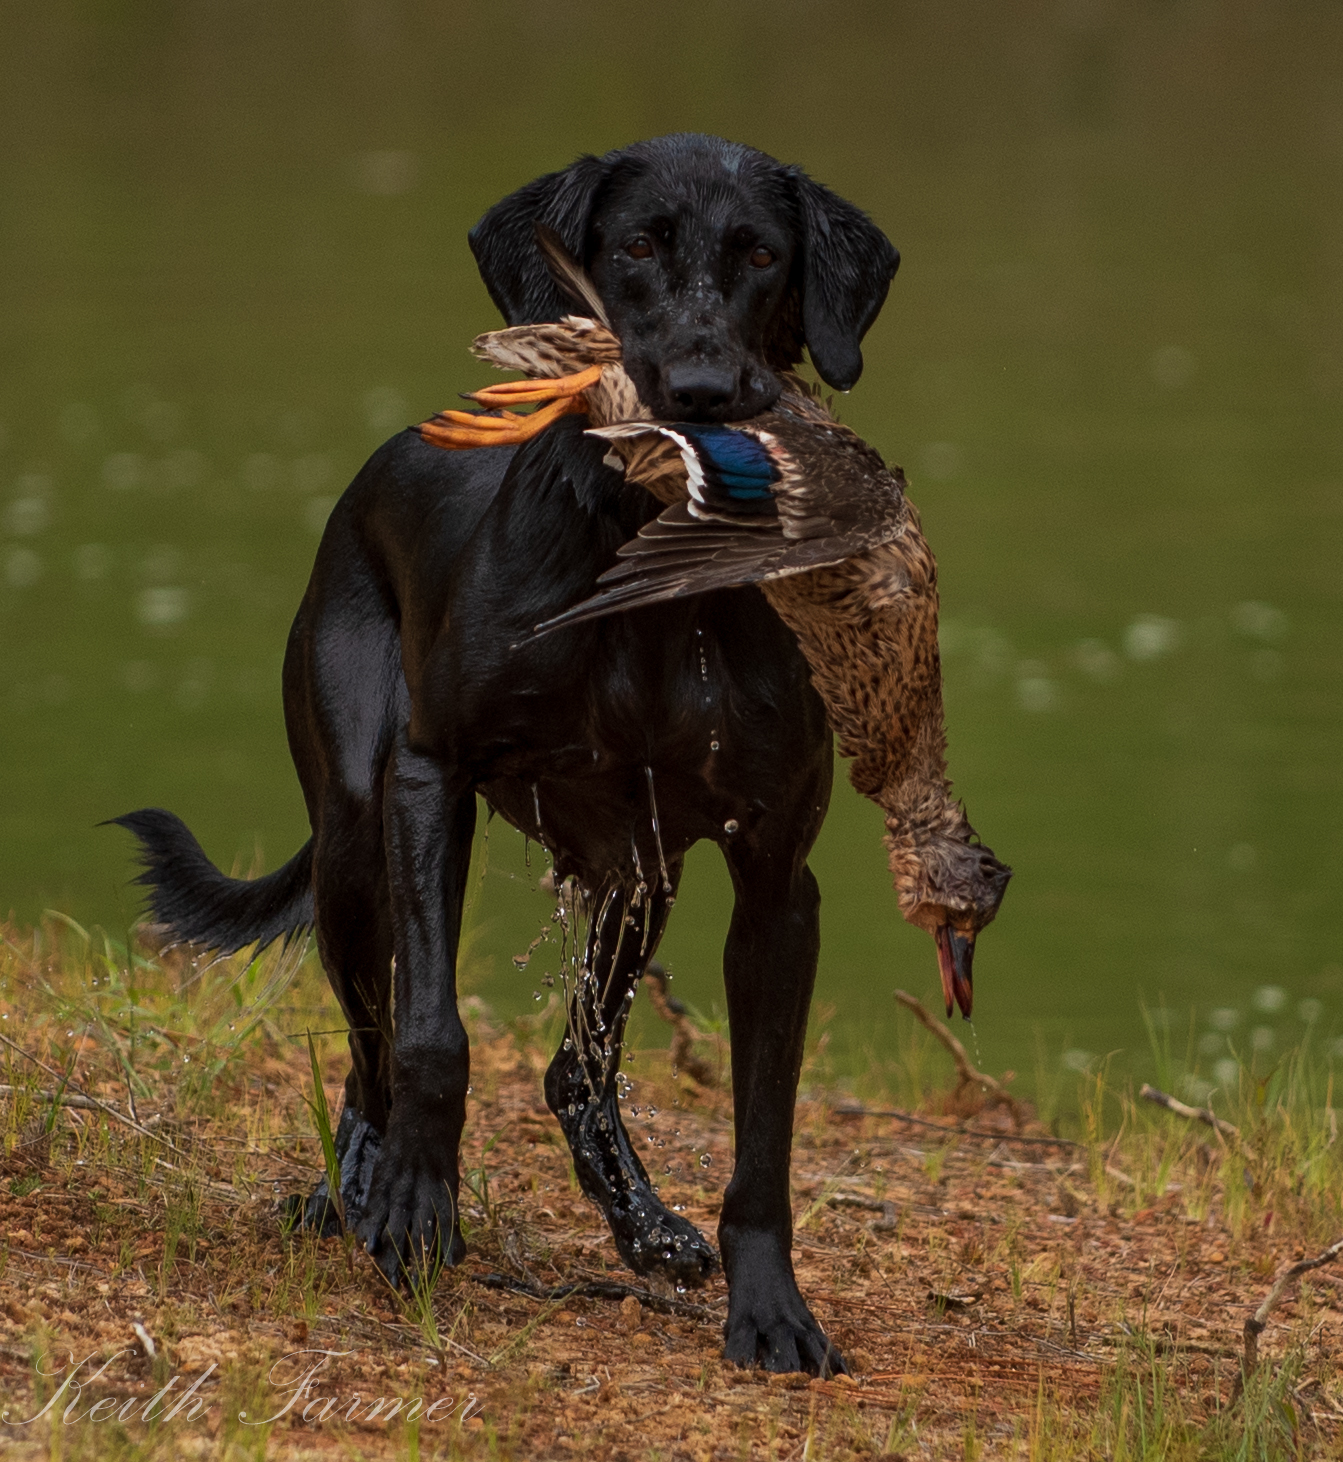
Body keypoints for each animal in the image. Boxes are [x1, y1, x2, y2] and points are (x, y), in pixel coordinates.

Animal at [115, 131, 900, 1374]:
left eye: (761, 255)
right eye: (634, 246)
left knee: (575, 1066)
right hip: (355, 843)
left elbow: (763, 1127)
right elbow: (433, 1035)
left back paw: (643, 1222)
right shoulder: (433, 780)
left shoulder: (775, 876)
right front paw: (414, 1212)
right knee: (371, 1048)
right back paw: (358, 1189)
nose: (699, 391)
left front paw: (769, 1309)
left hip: (637, 872)